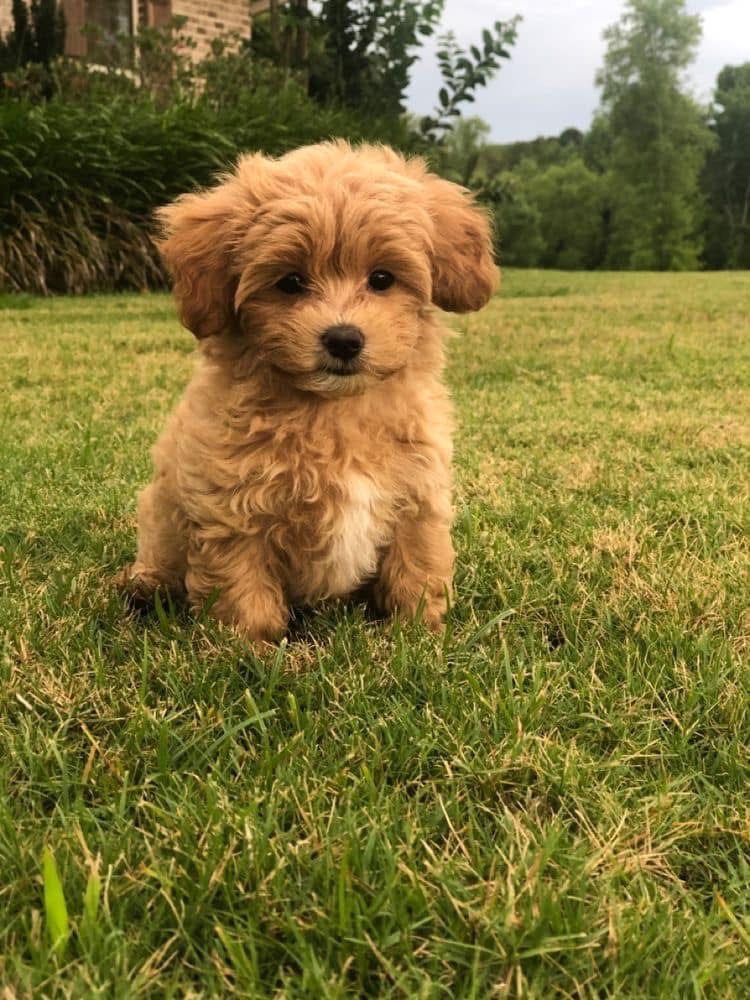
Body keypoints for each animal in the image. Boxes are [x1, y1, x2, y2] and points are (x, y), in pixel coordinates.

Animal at [120, 143, 500, 648]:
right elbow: (243, 588)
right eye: (290, 282)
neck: (335, 411)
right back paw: (142, 588)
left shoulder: (419, 496)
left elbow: (417, 569)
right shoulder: (232, 510)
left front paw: (420, 637)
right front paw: (248, 650)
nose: (343, 339)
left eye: (382, 278)